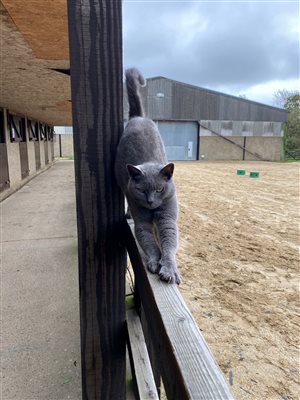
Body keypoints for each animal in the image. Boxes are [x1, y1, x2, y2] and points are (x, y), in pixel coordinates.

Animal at [115, 68, 180, 284]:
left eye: (159, 189)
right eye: (142, 190)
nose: (151, 201)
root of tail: (139, 117)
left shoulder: (167, 217)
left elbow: (168, 242)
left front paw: (169, 269)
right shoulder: (142, 221)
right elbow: (149, 242)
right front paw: (154, 262)